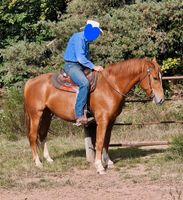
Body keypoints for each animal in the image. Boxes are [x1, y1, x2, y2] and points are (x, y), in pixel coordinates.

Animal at [23, 57, 164, 173]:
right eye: (155, 78)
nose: (161, 99)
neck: (110, 85)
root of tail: (30, 82)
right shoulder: (102, 120)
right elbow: (100, 142)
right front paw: (99, 166)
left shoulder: (111, 121)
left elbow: (107, 141)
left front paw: (109, 162)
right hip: (36, 115)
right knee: (33, 136)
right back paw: (38, 162)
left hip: (47, 115)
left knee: (42, 135)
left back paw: (48, 159)